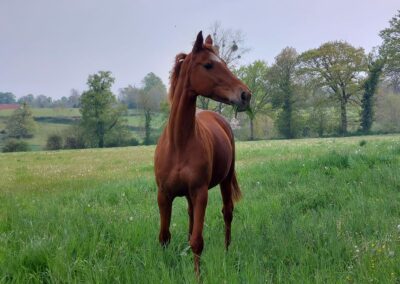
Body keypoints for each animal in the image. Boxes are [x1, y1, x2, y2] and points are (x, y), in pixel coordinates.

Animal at [155, 31, 252, 276]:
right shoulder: (163, 195)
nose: (245, 95)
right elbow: (164, 237)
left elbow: (197, 241)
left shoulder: (200, 193)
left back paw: (227, 252)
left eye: (224, 63)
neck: (179, 143)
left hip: (225, 181)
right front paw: (164, 268)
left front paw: (197, 275)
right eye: (208, 65)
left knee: (227, 212)